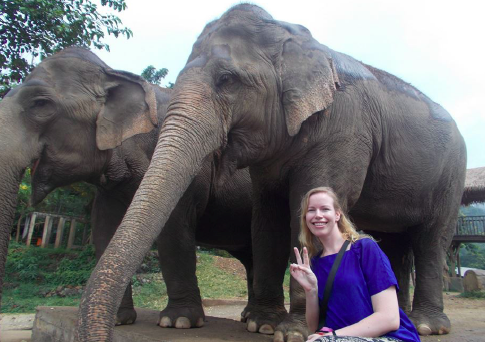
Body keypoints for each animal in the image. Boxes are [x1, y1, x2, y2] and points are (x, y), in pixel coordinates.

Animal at [0, 46, 255, 328]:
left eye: (40, 104)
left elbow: (174, 231)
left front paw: (178, 321)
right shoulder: (110, 188)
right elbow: (104, 229)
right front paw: (117, 319)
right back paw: (249, 317)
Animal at [77, 4, 466, 342]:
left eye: (227, 79)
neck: (292, 36)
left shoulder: (346, 129)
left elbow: (306, 202)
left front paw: (291, 332)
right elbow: (267, 217)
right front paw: (262, 325)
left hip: (452, 176)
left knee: (431, 238)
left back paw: (428, 326)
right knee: (396, 243)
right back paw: (400, 318)